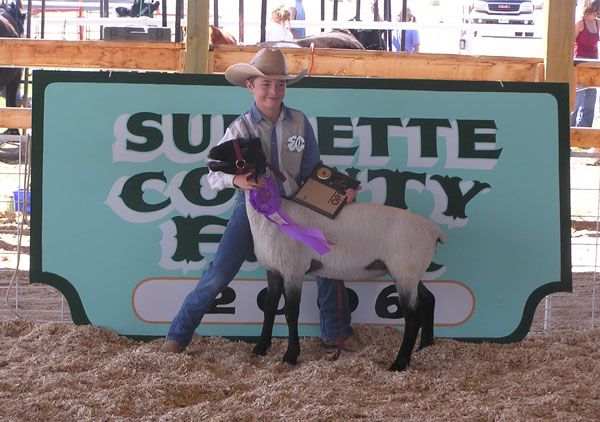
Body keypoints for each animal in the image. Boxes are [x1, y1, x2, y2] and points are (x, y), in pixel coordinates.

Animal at [206, 138, 446, 370]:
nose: (211, 152)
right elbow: (269, 308)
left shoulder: (293, 270)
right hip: (411, 272)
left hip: (404, 271)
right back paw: (426, 345)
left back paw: (400, 362)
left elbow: (290, 312)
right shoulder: (273, 270)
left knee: (412, 316)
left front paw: (291, 356)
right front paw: (260, 348)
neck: (271, 218)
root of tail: (434, 230)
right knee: (429, 299)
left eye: (245, 145)